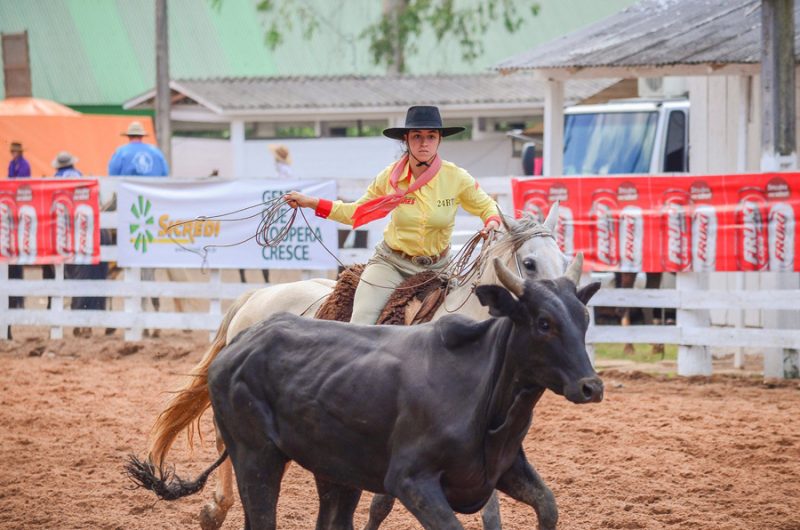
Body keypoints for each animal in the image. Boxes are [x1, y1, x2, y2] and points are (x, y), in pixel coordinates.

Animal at [144, 205, 568, 528]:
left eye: (565, 259)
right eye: (529, 263)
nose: (564, 310)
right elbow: (384, 502)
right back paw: (215, 510)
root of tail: (257, 295)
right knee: (226, 446)